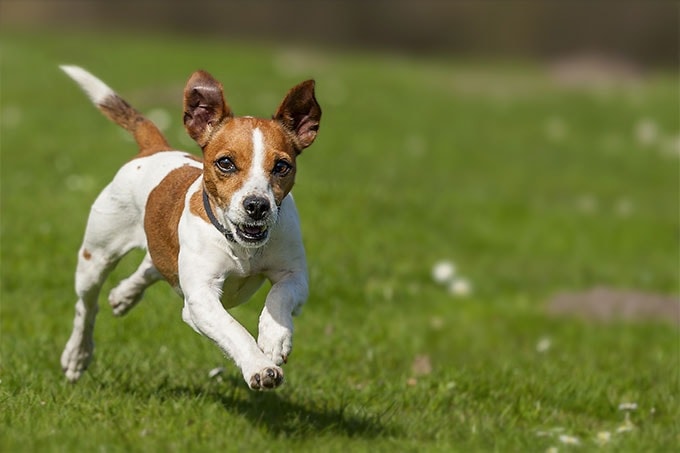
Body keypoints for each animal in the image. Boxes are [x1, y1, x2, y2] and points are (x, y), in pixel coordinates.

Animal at [59, 64, 322, 388]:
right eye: (225, 163)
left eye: (282, 166)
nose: (257, 206)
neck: (242, 246)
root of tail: (155, 148)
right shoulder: (200, 298)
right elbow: (233, 329)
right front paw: (260, 367)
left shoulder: (294, 275)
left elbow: (279, 296)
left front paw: (275, 337)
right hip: (95, 257)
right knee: (86, 307)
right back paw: (77, 355)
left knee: (150, 265)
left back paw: (124, 295)